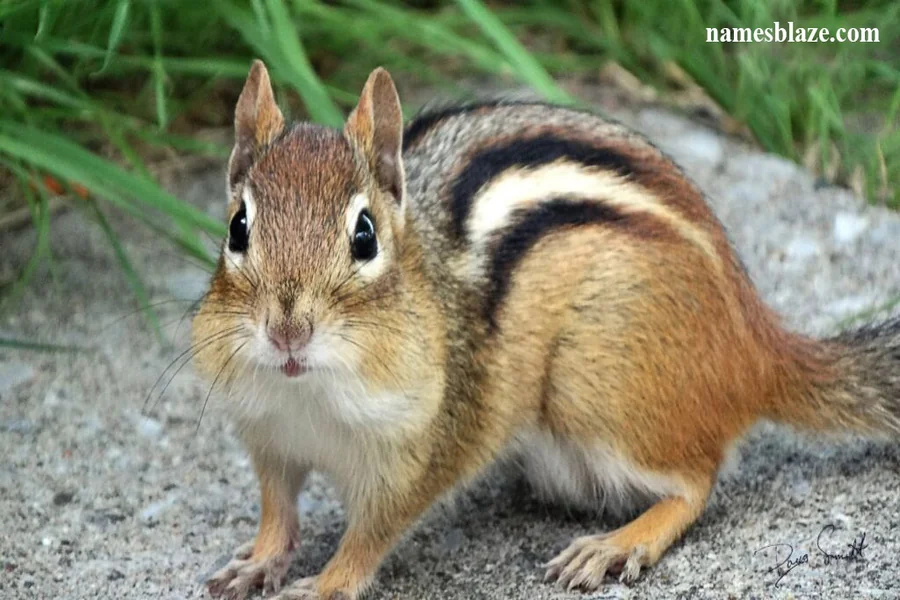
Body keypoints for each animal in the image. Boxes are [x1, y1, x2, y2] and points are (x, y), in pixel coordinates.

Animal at [192, 60, 900, 600]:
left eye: (364, 236)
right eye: (237, 227)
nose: (287, 330)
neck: (307, 394)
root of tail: (755, 342)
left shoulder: (421, 449)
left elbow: (369, 536)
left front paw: (323, 583)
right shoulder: (269, 436)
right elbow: (277, 510)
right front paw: (258, 562)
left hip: (593, 388)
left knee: (697, 480)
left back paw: (617, 544)